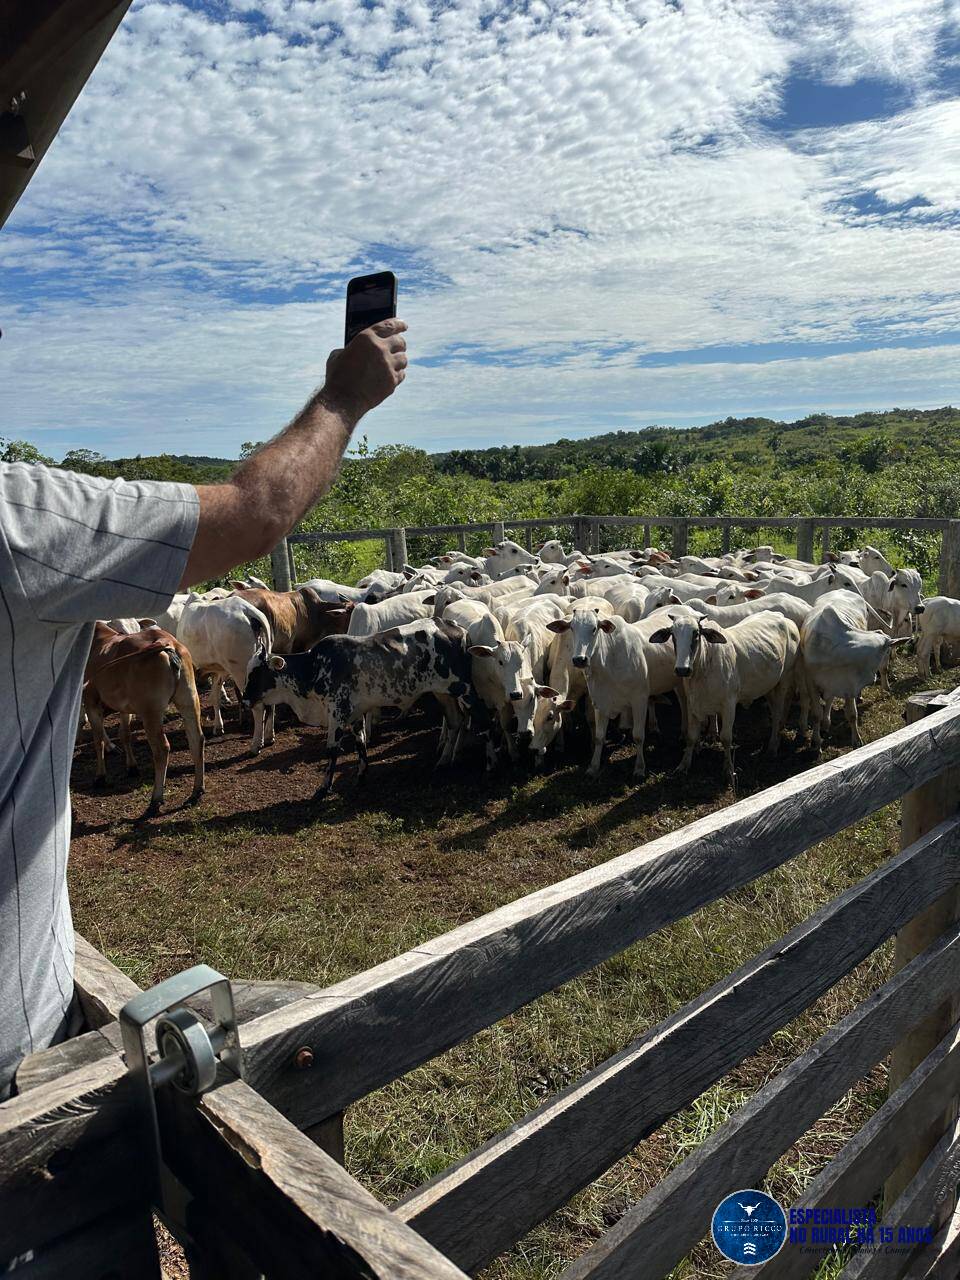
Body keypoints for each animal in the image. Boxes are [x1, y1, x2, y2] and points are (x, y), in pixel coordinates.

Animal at [83, 622, 204, 819]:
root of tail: (166, 641)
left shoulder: (90, 700)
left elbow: (98, 740)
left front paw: (100, 777)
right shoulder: (124, 706)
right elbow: (124, 734)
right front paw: (132, 767)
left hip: (150, 711)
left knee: (162, 749)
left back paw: (155, 800)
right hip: (189, 699)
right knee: (196, 740)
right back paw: (196, 791)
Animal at [244, 616, 483, 793]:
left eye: (257, 673)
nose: (245, 699)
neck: (313, 668)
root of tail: (458, 628)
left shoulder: (337, 714)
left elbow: (332, 750)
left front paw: (324, 787)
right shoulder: (356, 714)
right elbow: (360, 743)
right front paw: (361, 776)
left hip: (465, 690)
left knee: (482, 719)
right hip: (444, 694)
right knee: (455, 722)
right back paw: (445, 761)